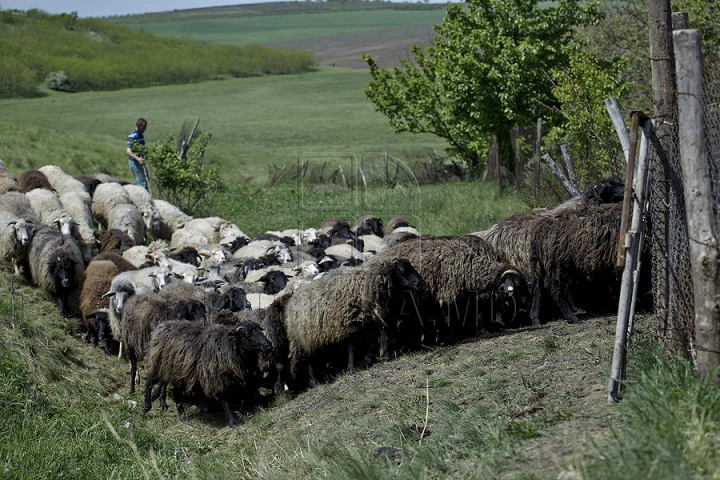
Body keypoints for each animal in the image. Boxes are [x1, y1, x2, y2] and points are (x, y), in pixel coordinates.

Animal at [143, 320, 272, 426]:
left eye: (260, 330)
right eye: (247, 334)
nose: (268, 345)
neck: (229, 345)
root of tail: (162, 326)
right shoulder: (215, 377)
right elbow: (224, 398)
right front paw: (232, 421)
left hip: (178, 372)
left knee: (176, 393)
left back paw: (183, 416)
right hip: (159, 365)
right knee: (149, 381)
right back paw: (146, 406)